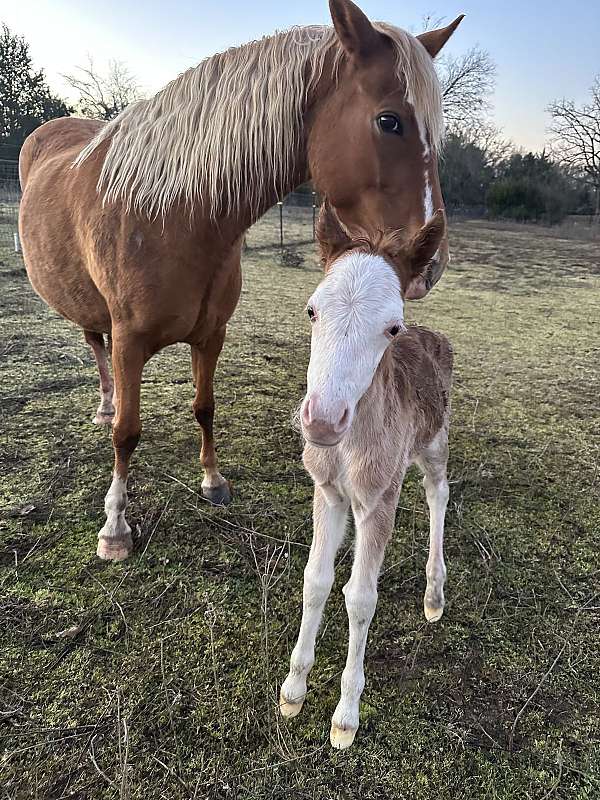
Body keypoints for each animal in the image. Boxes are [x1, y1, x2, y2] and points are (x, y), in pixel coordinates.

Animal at [17, 0, 460, 560]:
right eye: (389, 121)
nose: (433, 260)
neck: (172, 216)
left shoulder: (212, 336)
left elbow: (204, 406)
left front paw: (212, 480)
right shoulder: (130, 341)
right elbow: (128, 433)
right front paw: (115, 526)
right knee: (96, 347)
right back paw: (105, 406)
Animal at [282, 208, 454, 752]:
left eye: (391, 327)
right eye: (312, 311)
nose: (321, 421)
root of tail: (435, 335)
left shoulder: (377, 499)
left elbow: (360, 597)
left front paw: (345, 716)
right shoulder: (329, 493)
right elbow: (316, 581)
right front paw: (293, 690)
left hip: (434, 440)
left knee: (438, 493)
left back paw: (434, 595)